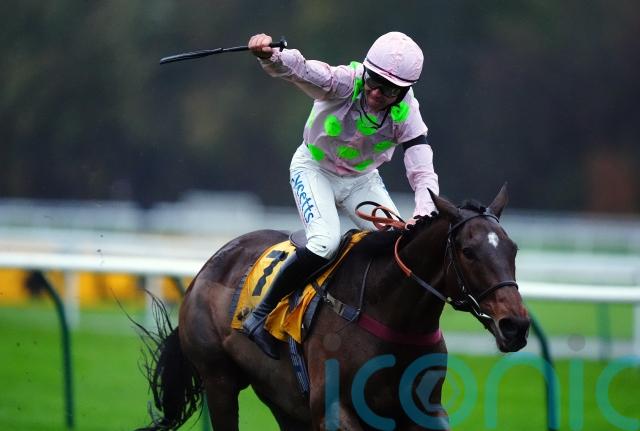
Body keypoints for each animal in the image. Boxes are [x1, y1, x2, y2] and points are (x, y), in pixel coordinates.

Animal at [135, 185, 530, 431]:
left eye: (513, 249)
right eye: (469, 251)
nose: (516, 325)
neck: (391, 313)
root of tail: (206, 268)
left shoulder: (424, 410)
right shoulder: (334, 410)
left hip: (281, 398)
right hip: (219, 380)